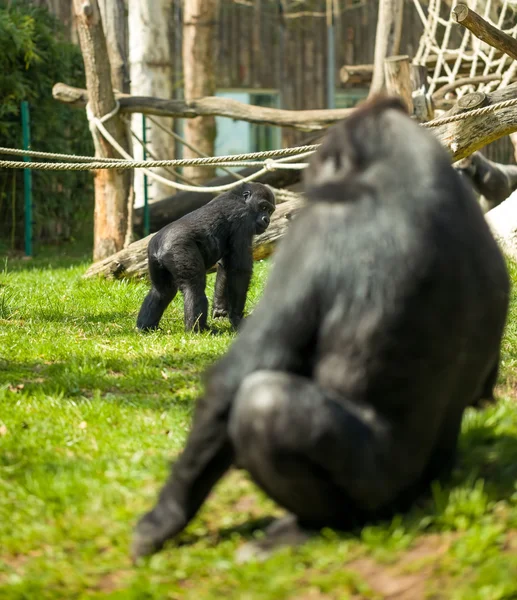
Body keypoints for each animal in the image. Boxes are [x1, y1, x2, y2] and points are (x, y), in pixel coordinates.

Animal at [136, 183, 274, 332]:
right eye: (263, 207)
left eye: (270, 211)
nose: (267, 220)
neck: (239, 198)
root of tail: (160, 246)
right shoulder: (244, 220)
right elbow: (239, 270)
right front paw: (237, 317)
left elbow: (226, 267)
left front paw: (220, 311)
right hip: (178, 250)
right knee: (194, 287)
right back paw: (197, 329)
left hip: (153, 257)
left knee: (162, 291)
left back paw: (146, 327)